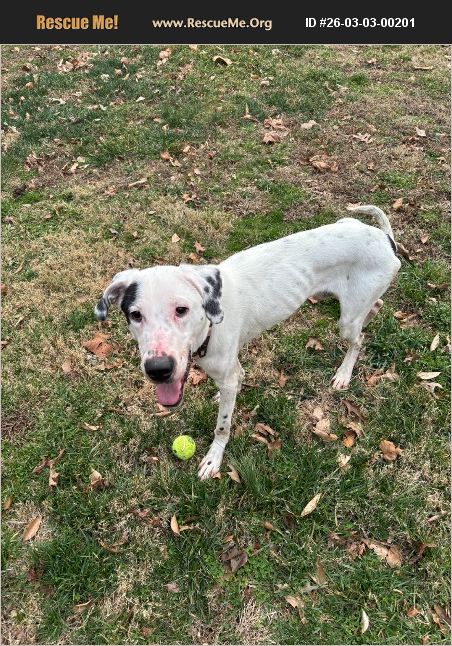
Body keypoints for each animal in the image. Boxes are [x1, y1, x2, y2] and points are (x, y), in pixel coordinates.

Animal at [95, 205, 400, 479]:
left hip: (347, 320)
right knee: (375, 307)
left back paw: (344, 374)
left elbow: (222, 426)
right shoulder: (230, 369)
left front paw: (214, 459)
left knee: (359, 339)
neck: (210, 326)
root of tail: (385, 238)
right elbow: (234, 383)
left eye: (181, 310)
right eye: (135, 315)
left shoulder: (225, 375)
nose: (158, 370)